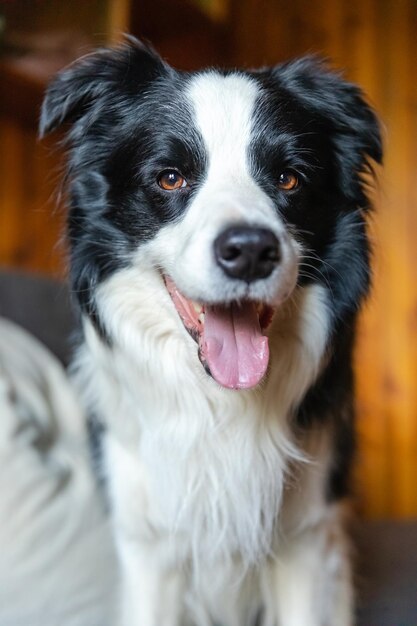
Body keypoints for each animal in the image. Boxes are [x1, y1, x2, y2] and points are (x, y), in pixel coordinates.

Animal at [40, 39, 382, 624]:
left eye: (289, 178)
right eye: (170, 177)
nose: (249, 250)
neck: (220, 403)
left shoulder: (307, 539)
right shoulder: (148, 545)